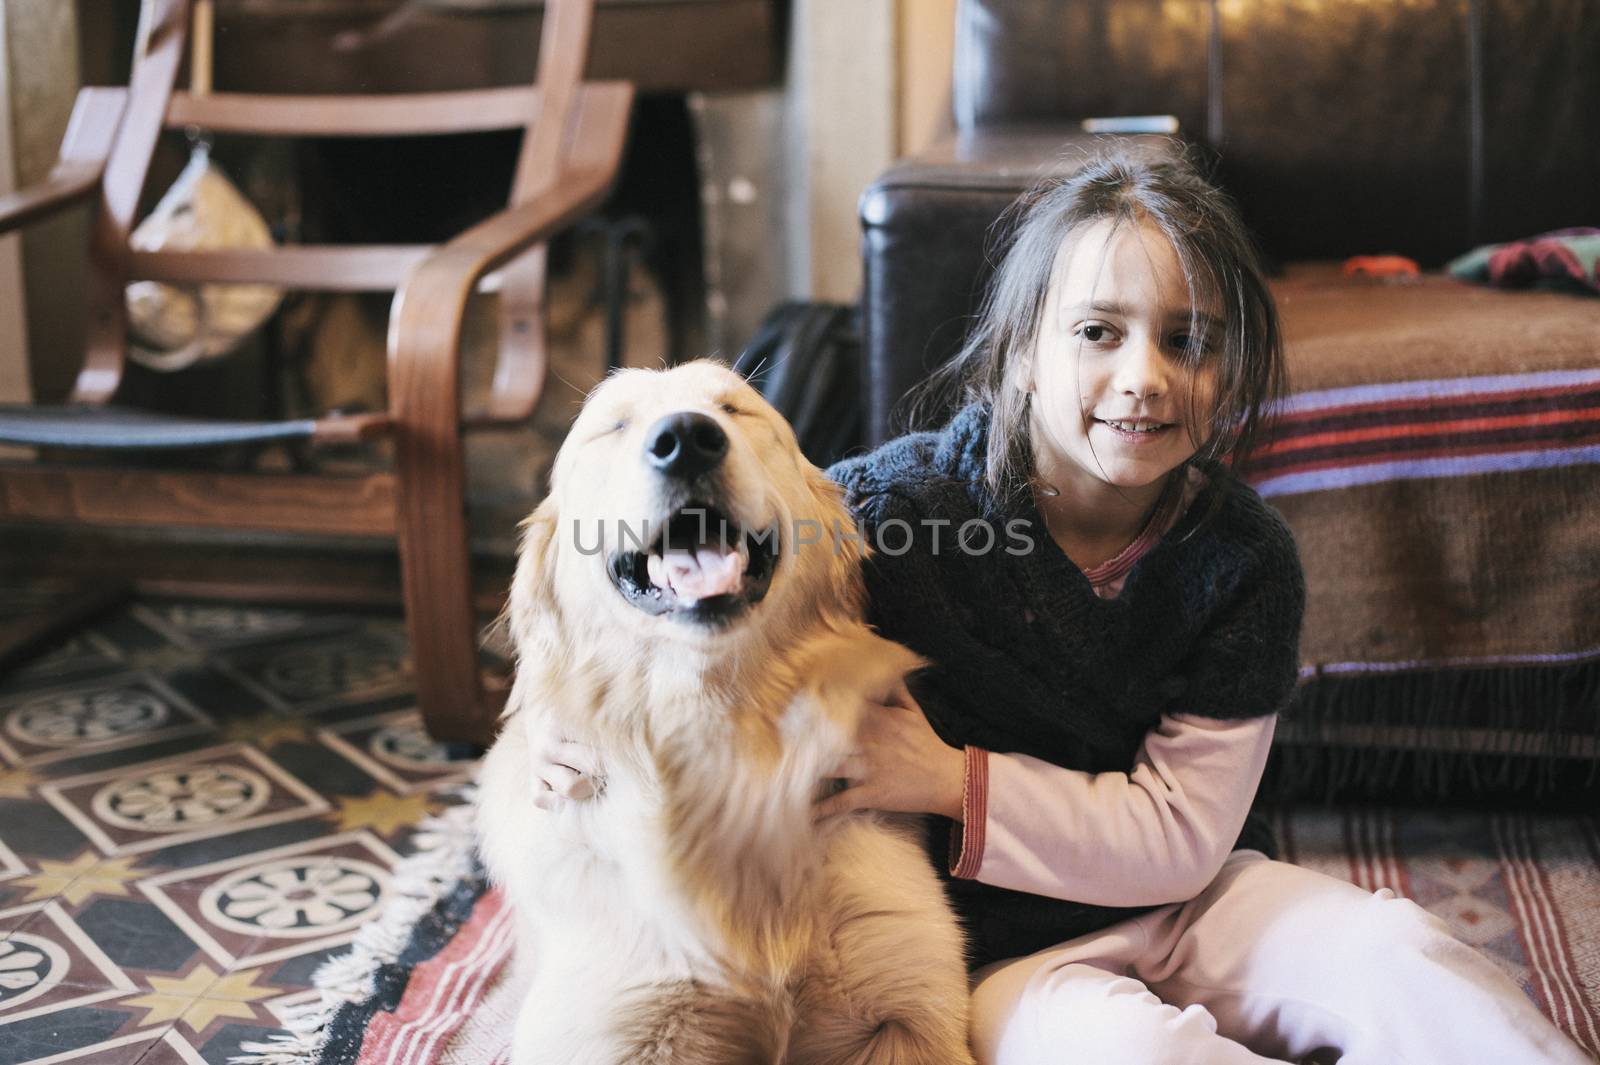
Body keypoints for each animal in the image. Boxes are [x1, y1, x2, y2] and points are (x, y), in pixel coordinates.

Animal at [473, 358, 972, 1061]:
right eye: (614, 426)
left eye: (735, 409)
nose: (686, 438)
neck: (726, 739)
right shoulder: (620, 1019)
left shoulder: (911, 1003)